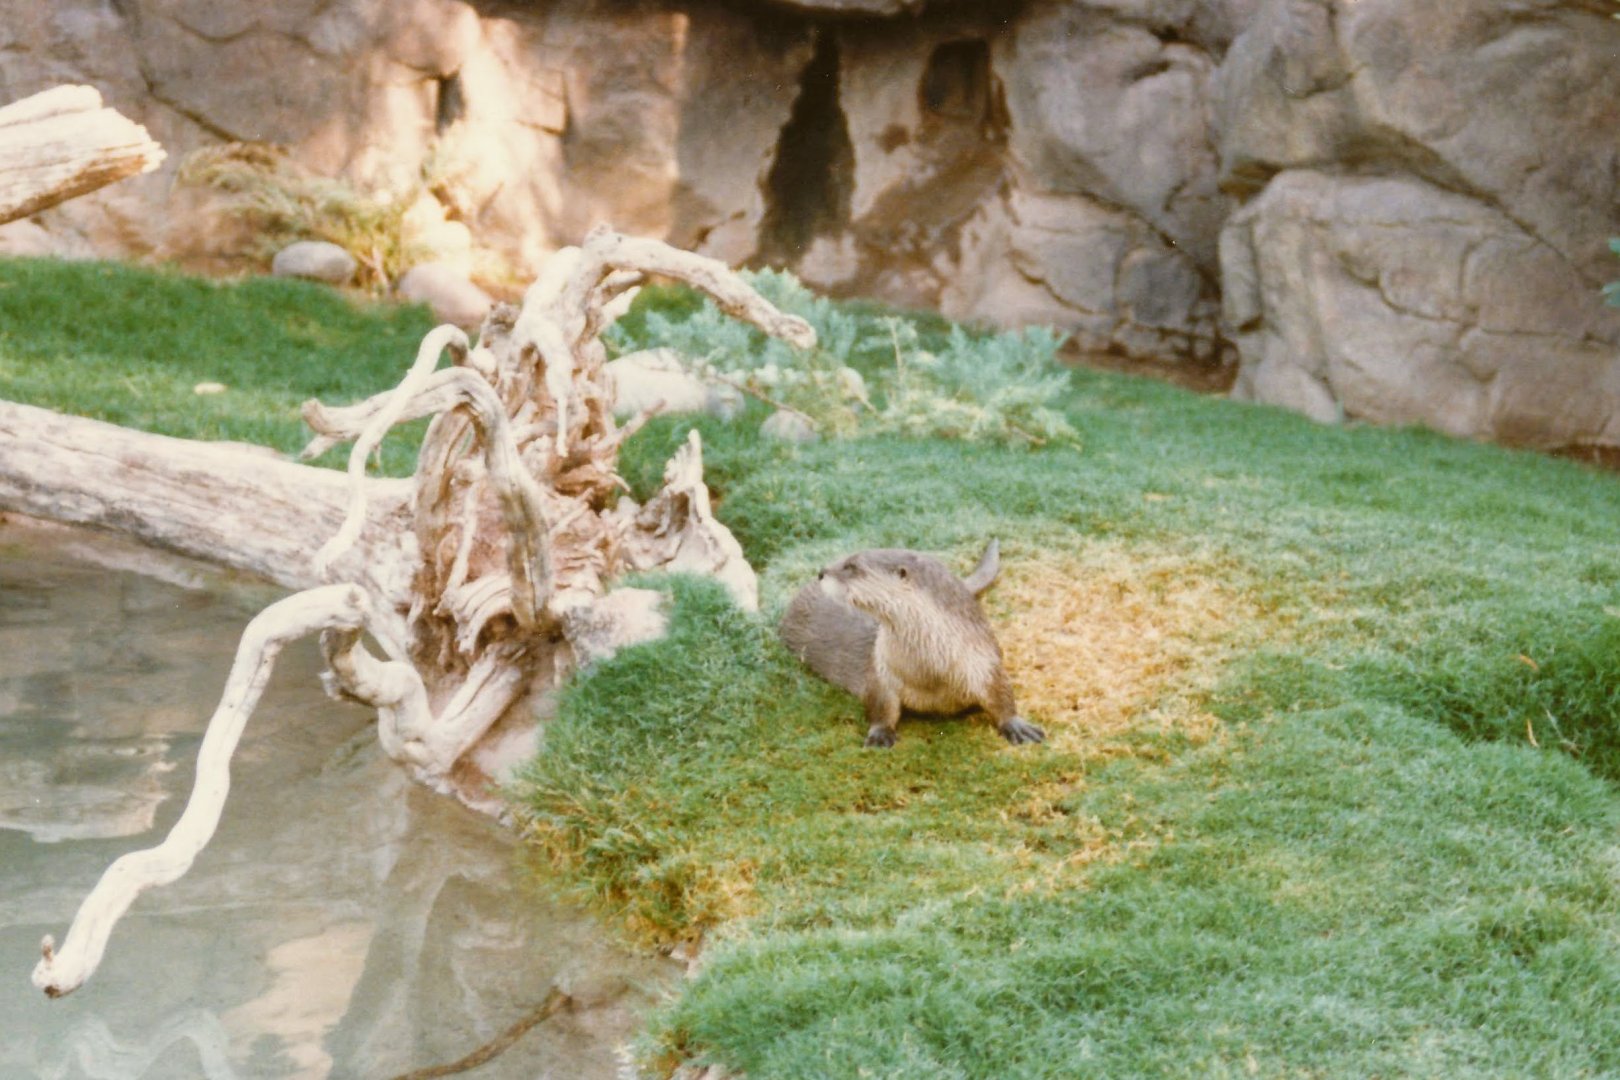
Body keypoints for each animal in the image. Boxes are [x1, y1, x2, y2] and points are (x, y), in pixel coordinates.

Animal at [779, 540, 1045, 748]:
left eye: (851, 566)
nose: (821, 572)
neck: (931, 671)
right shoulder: (881, 671)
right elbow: (880, 705)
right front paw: (880, 733)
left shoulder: (984, 662)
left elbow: (1001, 693)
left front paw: (1016, 724)